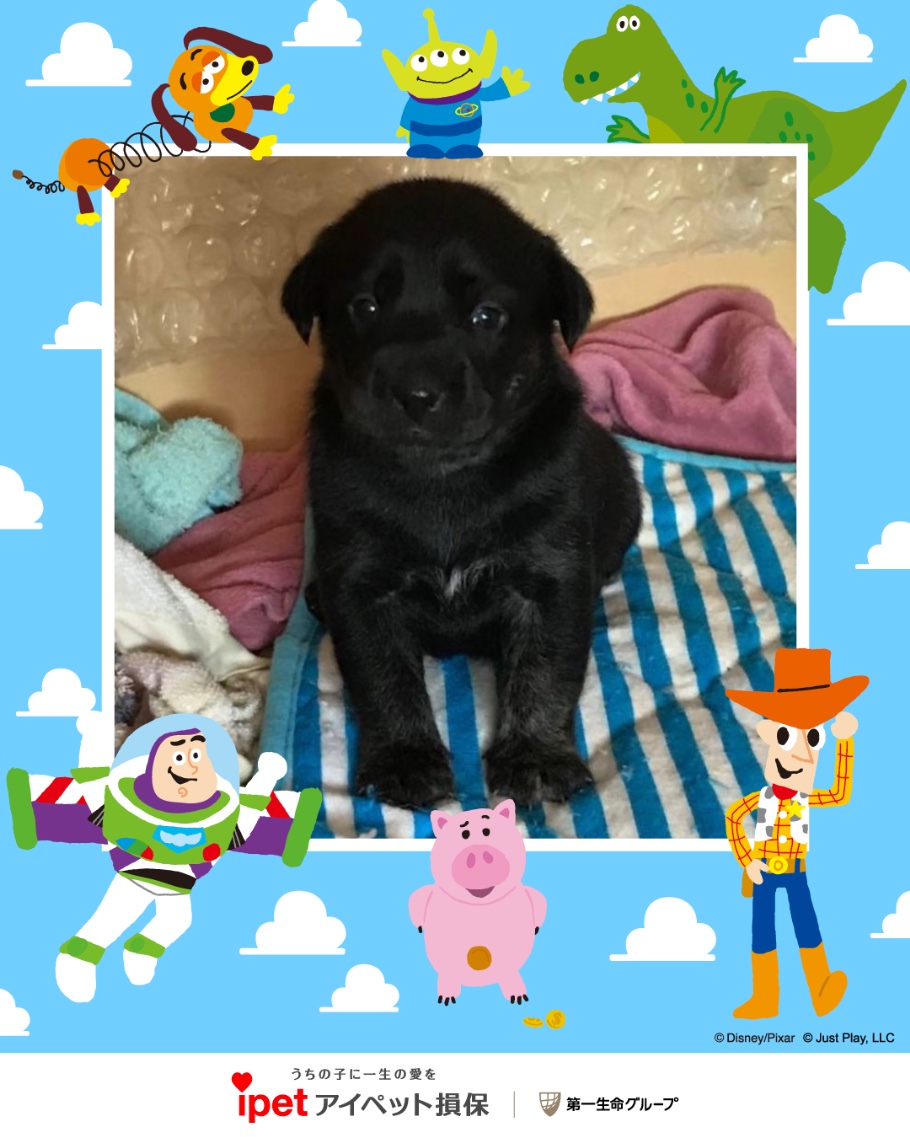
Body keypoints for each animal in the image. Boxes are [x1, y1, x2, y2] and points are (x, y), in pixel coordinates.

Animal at [282, 178, 641, 809]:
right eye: (364, 307)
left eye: (485, 316)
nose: (416, 393)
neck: (443, 481)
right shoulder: (362, 585)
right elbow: (383, 680)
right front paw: (405, 759)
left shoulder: (550, 579)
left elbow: (545, 674)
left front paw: (536, 756)